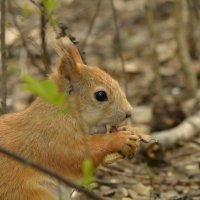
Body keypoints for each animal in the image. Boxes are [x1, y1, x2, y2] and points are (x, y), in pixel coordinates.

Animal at [0, 45, 147, 200]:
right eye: (100, 95)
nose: (129, 113)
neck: (64, 111)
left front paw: (134, 132)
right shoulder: (53, 137)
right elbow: (76, 156)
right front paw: (119, 139)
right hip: (32, 194)